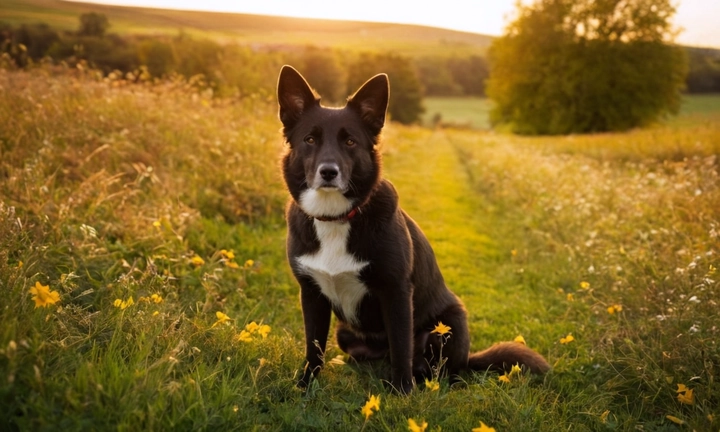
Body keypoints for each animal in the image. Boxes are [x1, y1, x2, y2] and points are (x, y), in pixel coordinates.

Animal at [278, 65, 548, 394]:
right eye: (310, 139)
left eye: (350, 142)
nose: (329, 172)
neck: (336, 218)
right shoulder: (311, 294)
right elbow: (313, 347)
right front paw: (305, 387)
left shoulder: (396, 292)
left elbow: (400, 347)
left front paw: (402, 393)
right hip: (345, 332)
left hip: (449, 324)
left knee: (442, 367)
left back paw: (429, 380)